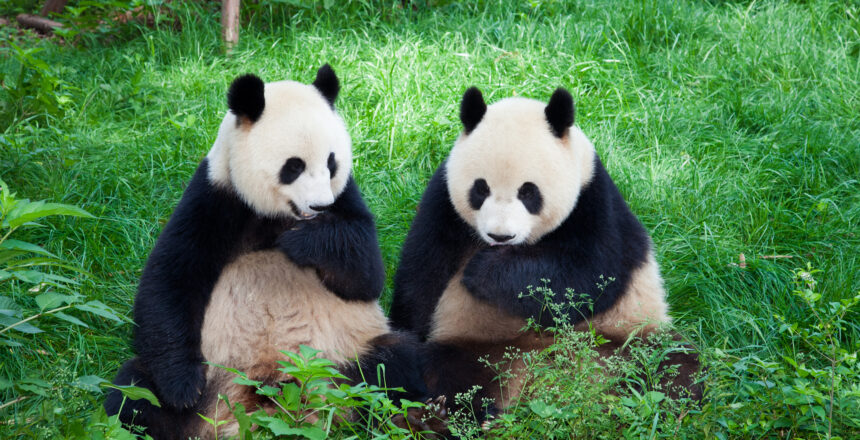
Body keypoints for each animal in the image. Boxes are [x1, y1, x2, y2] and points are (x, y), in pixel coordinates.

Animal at [104, 65, 426, 439]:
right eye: (294, 166)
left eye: (331, 162)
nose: (320, 206)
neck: (278, 217)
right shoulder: (215, 197)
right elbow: (170, 280)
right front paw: (182, 388)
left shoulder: (346, 197)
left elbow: (366, 274)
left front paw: (305, 242)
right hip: (211, 381)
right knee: (135, 393)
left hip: (344, 360)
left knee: (394, 367)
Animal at [390, 86, 700, 420]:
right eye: (480, 189)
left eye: (528, 192)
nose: (500, 235)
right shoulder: (443, 203)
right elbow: (421, 276)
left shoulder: (594, 201)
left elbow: (586, 278)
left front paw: (483, 271)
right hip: (477, 344)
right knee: (450, 372)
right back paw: (442, 413)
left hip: (624, 335)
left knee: (672, 364)